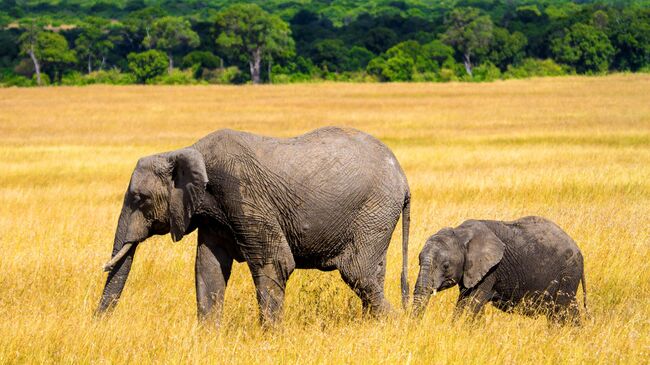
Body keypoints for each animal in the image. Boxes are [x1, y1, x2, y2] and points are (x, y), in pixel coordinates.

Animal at [96, 126, 410, 326]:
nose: (98, 325)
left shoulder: (241, 192)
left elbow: (275, 262)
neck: (186, 151)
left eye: (141, 198)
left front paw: (271, 337)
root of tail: (403, 179)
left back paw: (396, 325)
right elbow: (208, 267)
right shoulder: (213, 215)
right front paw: (208, 337)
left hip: (374, 210)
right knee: (372, 274)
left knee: (357, 272)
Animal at [412, 215, 584, 322]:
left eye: (446, 266)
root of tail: (579, 251)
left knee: (561, 311)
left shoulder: (491, 270)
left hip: (568, 275)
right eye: (419, 262)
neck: (461, 234)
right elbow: (463, 301)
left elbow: (473, 303)